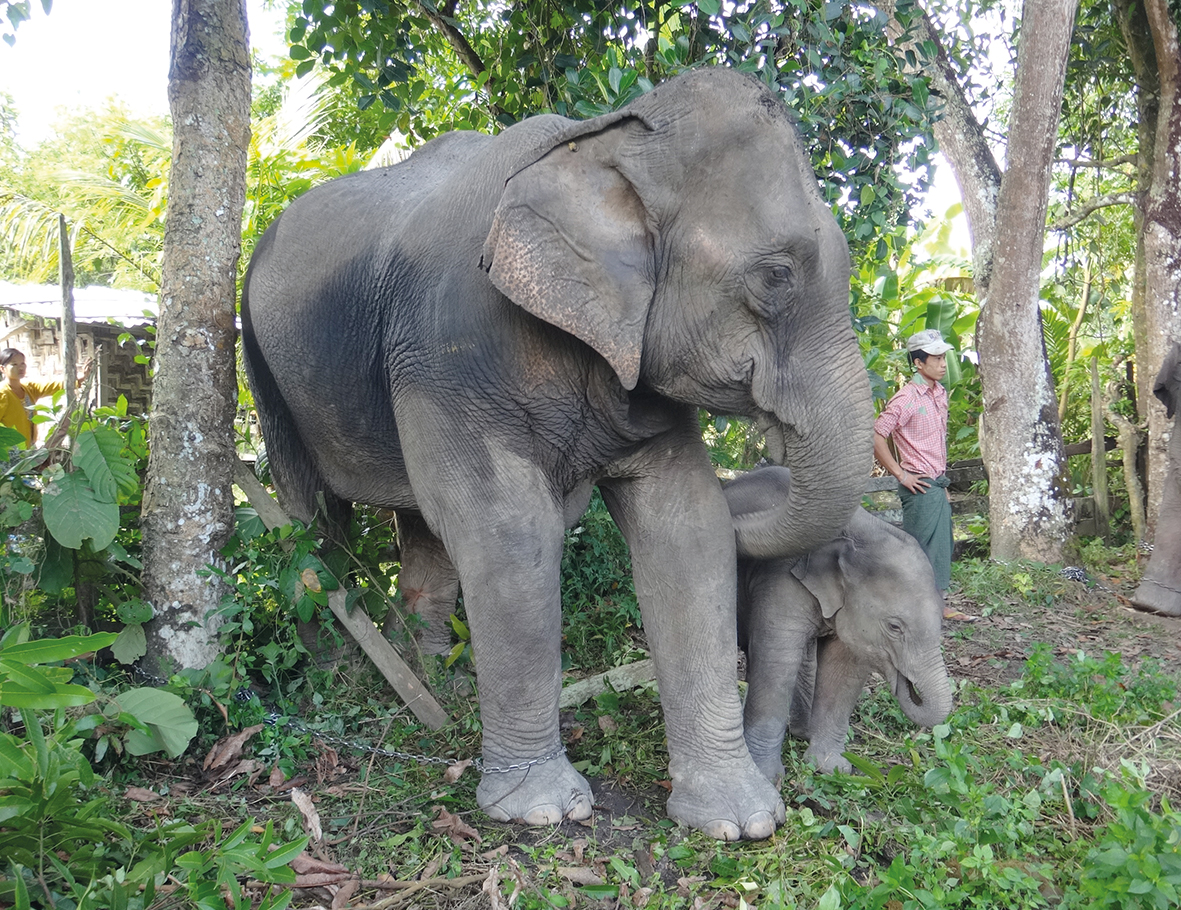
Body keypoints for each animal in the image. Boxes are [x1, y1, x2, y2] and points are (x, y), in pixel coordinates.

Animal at [239, 67, 873, 845]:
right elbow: (509, 529)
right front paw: (540, 810)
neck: (605, 137)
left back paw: (440, 685)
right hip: (263, 360)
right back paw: (337, 675)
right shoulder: (451, 348)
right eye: (776, 277)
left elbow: (687, 527)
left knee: (421, 531)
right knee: (311, 518)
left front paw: (740, 821)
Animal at [722, 467, 954, 778]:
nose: (908, 684)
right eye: (894, 627)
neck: (860, 532)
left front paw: (830, 768)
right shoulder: (779, 579)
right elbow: (776, 661)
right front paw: (767, 777)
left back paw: (801, 732)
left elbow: (844, 666)